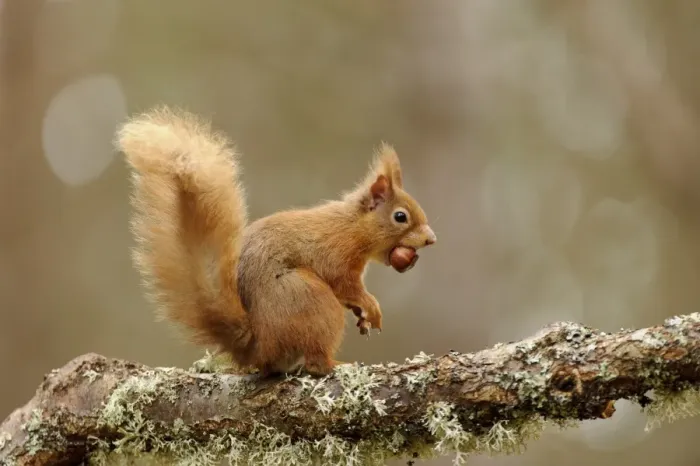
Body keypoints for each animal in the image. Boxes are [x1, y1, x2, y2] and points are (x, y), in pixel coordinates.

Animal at [116, 106, 436, 376]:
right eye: (400, 216)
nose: (431, 239)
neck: (352, 226)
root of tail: (259, 347)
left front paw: (363, 316)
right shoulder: (336, 255)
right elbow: (345, 284)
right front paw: (370, 306)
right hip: (311, 301)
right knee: (316, 363)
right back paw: (336, 365)